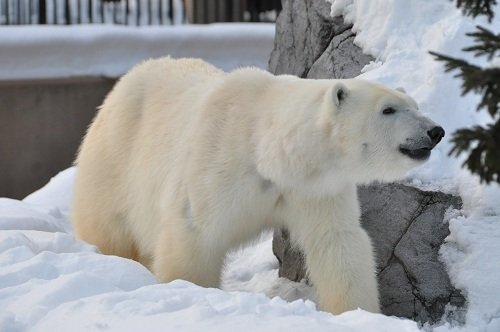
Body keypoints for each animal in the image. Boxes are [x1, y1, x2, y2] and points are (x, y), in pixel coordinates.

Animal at [72, 56, 444, 314]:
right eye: (388, 110)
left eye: (414, 105)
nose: (435, 131)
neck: (266, 149)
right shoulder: (216, 164)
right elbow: (195, 232)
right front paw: (190, 289)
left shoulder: (313, 187)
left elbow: (337, 242)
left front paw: (360, 313)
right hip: (113, 161)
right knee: (109, 227)